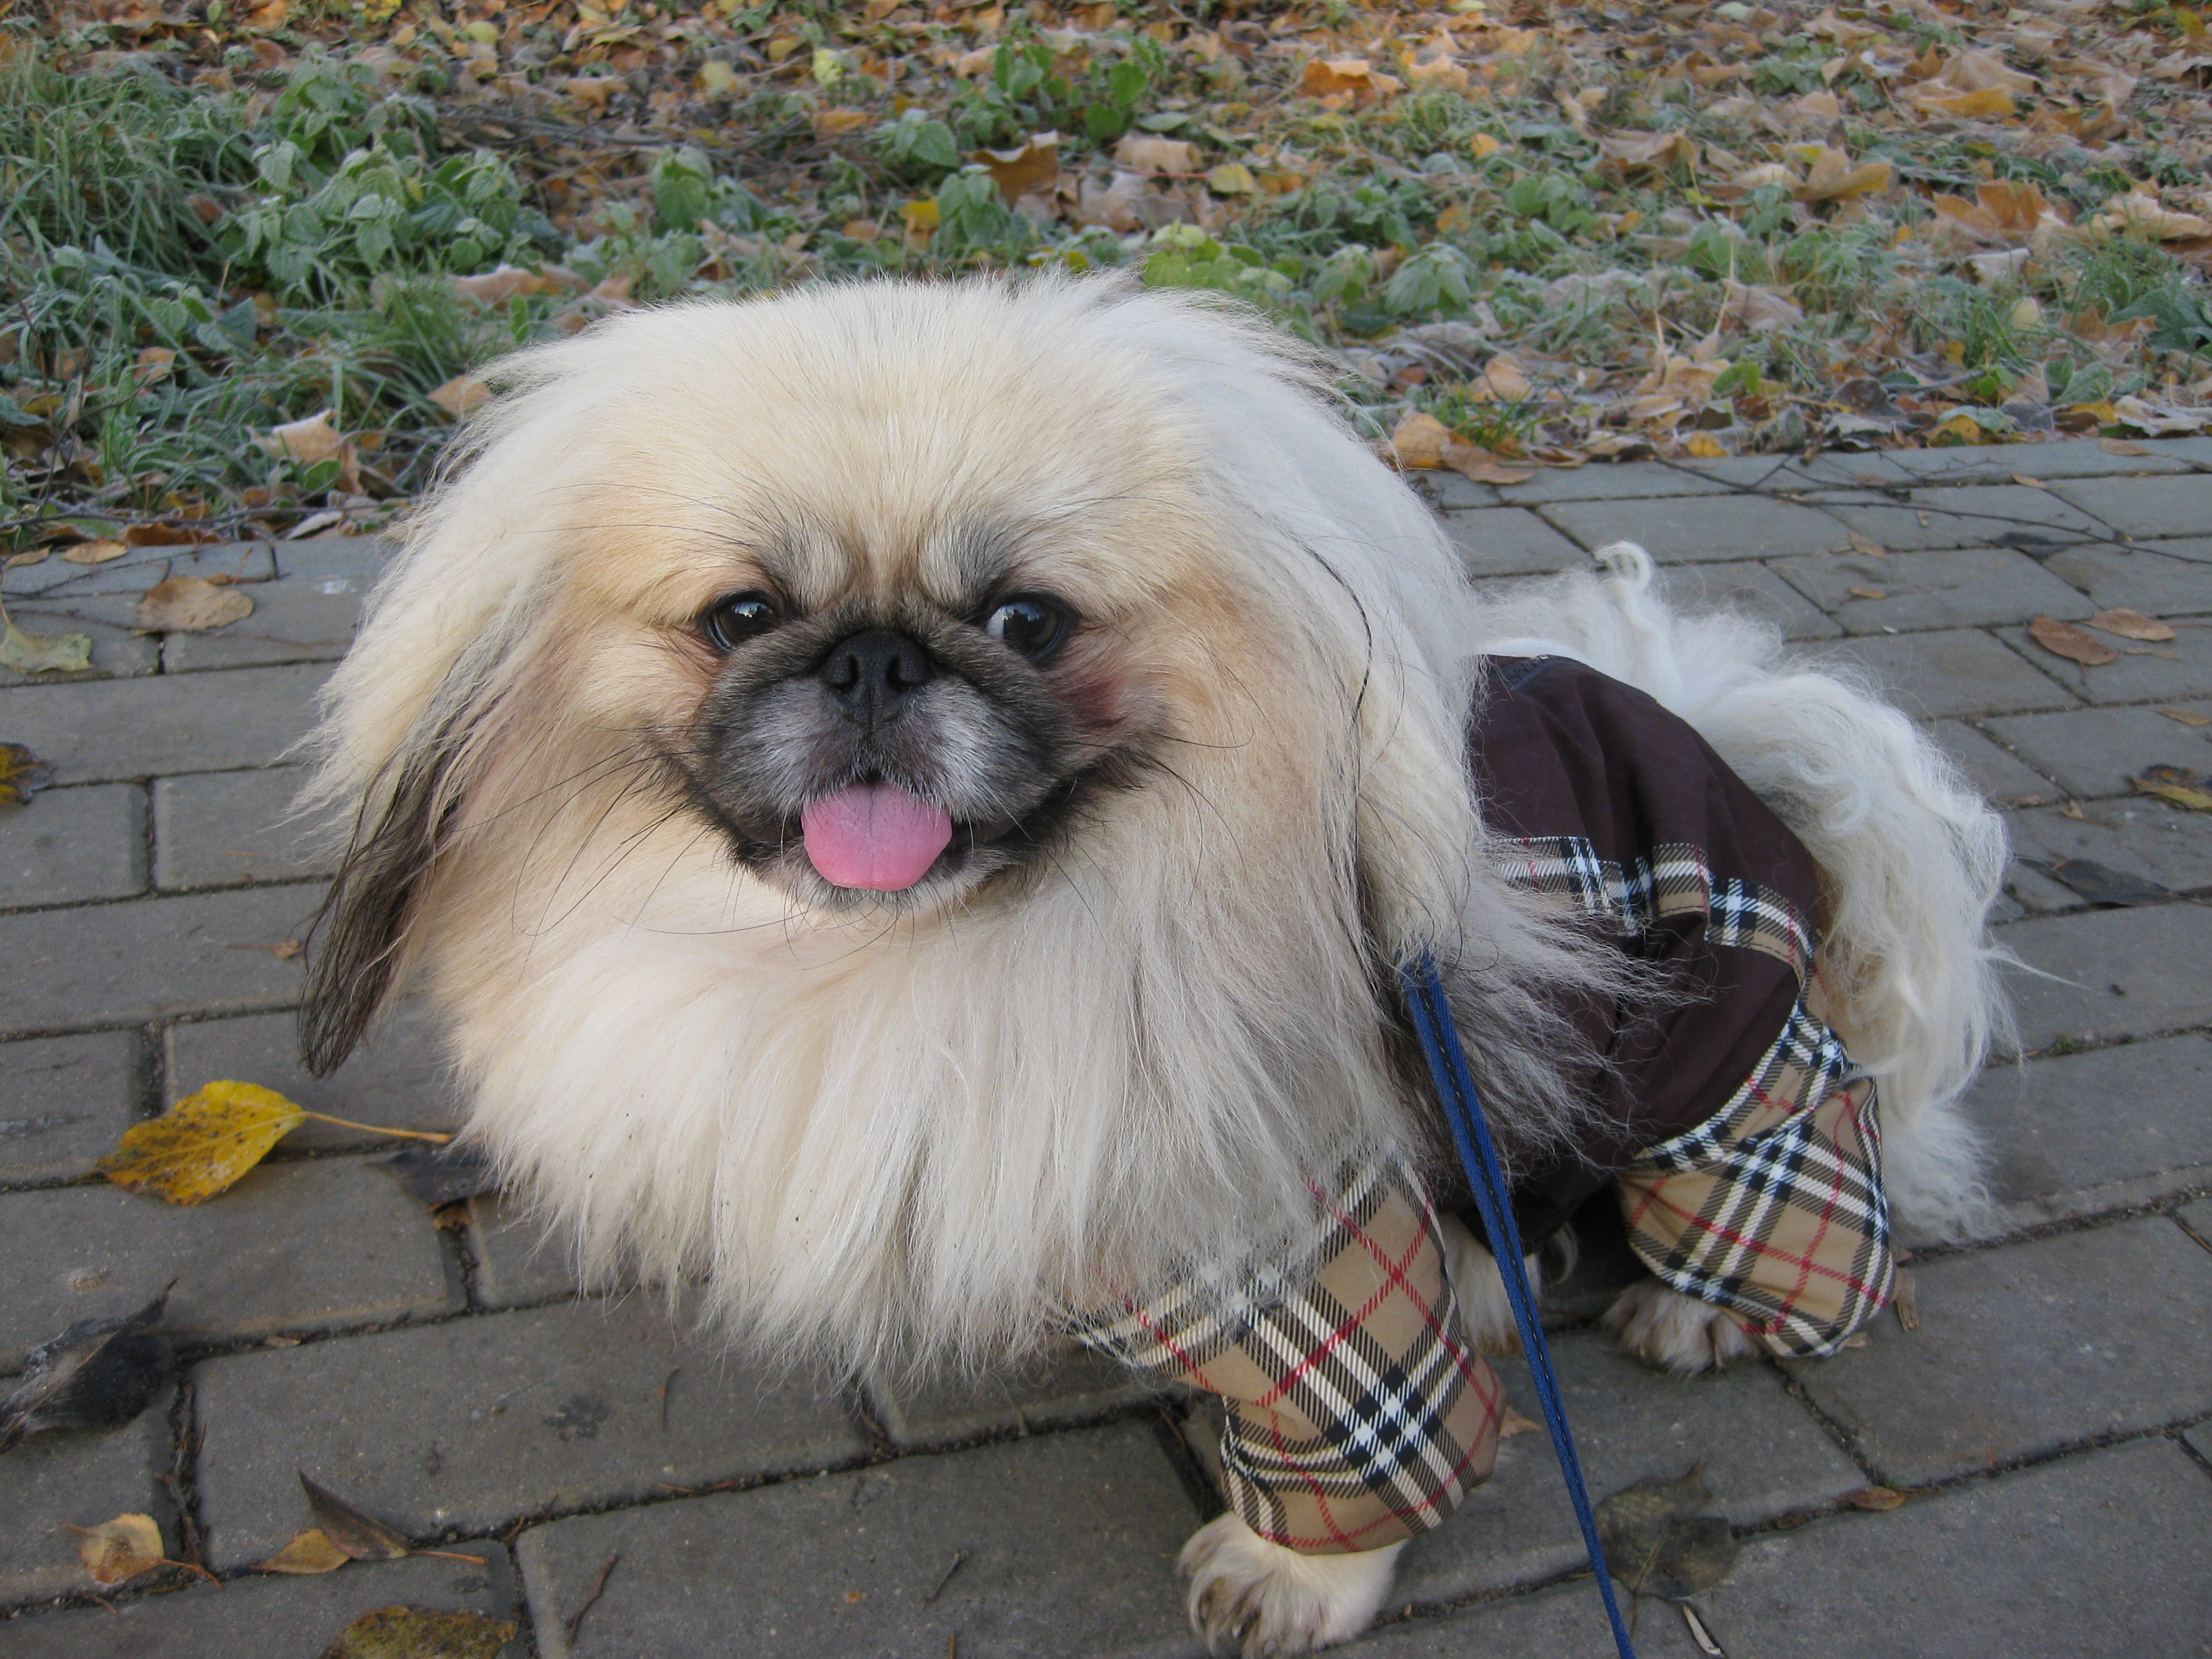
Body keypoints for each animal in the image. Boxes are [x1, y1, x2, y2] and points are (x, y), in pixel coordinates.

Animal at [298, 276, 2007, 1655]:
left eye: (1027, 620)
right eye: (742, 614)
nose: (871, 659)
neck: (926, 960)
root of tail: (1723, 746)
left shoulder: (1289, 1219)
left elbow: (1359, 1432)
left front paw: (1297, 1578)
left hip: (1739, 1082)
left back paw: (1703, 1308)